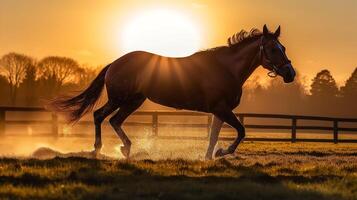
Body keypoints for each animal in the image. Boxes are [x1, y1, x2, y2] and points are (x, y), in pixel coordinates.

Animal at [50, 24, 294, 159]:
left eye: (283, 47)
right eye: (273, 49)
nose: (290, 74)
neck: (225, 68)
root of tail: (115, 63)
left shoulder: (219, 111)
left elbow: (214, 136)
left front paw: (209, 157)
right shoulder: (222, 109)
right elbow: (241, 131)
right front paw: (222, 153)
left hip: (133, 101)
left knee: (114, 120)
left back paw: (126, 149)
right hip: (120, 99)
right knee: (99, 115)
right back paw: (98, 149)